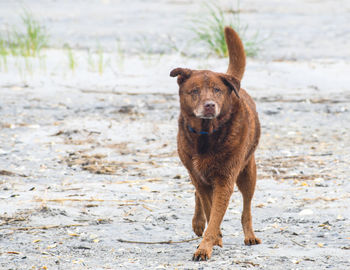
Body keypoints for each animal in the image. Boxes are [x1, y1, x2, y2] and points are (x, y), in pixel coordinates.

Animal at [171, 26, 262, 260]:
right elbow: (209, 207)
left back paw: (250, 235)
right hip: (196, 172)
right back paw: (198, 223)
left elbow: (216, 215)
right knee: (199, 195)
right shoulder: (200, 177)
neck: (206, 135)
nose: (210, 105)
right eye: (194, 91)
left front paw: (205, 246)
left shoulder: (225, 180)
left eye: (217, 90)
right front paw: (212, 237)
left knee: (247, 208)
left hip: (248, 173)